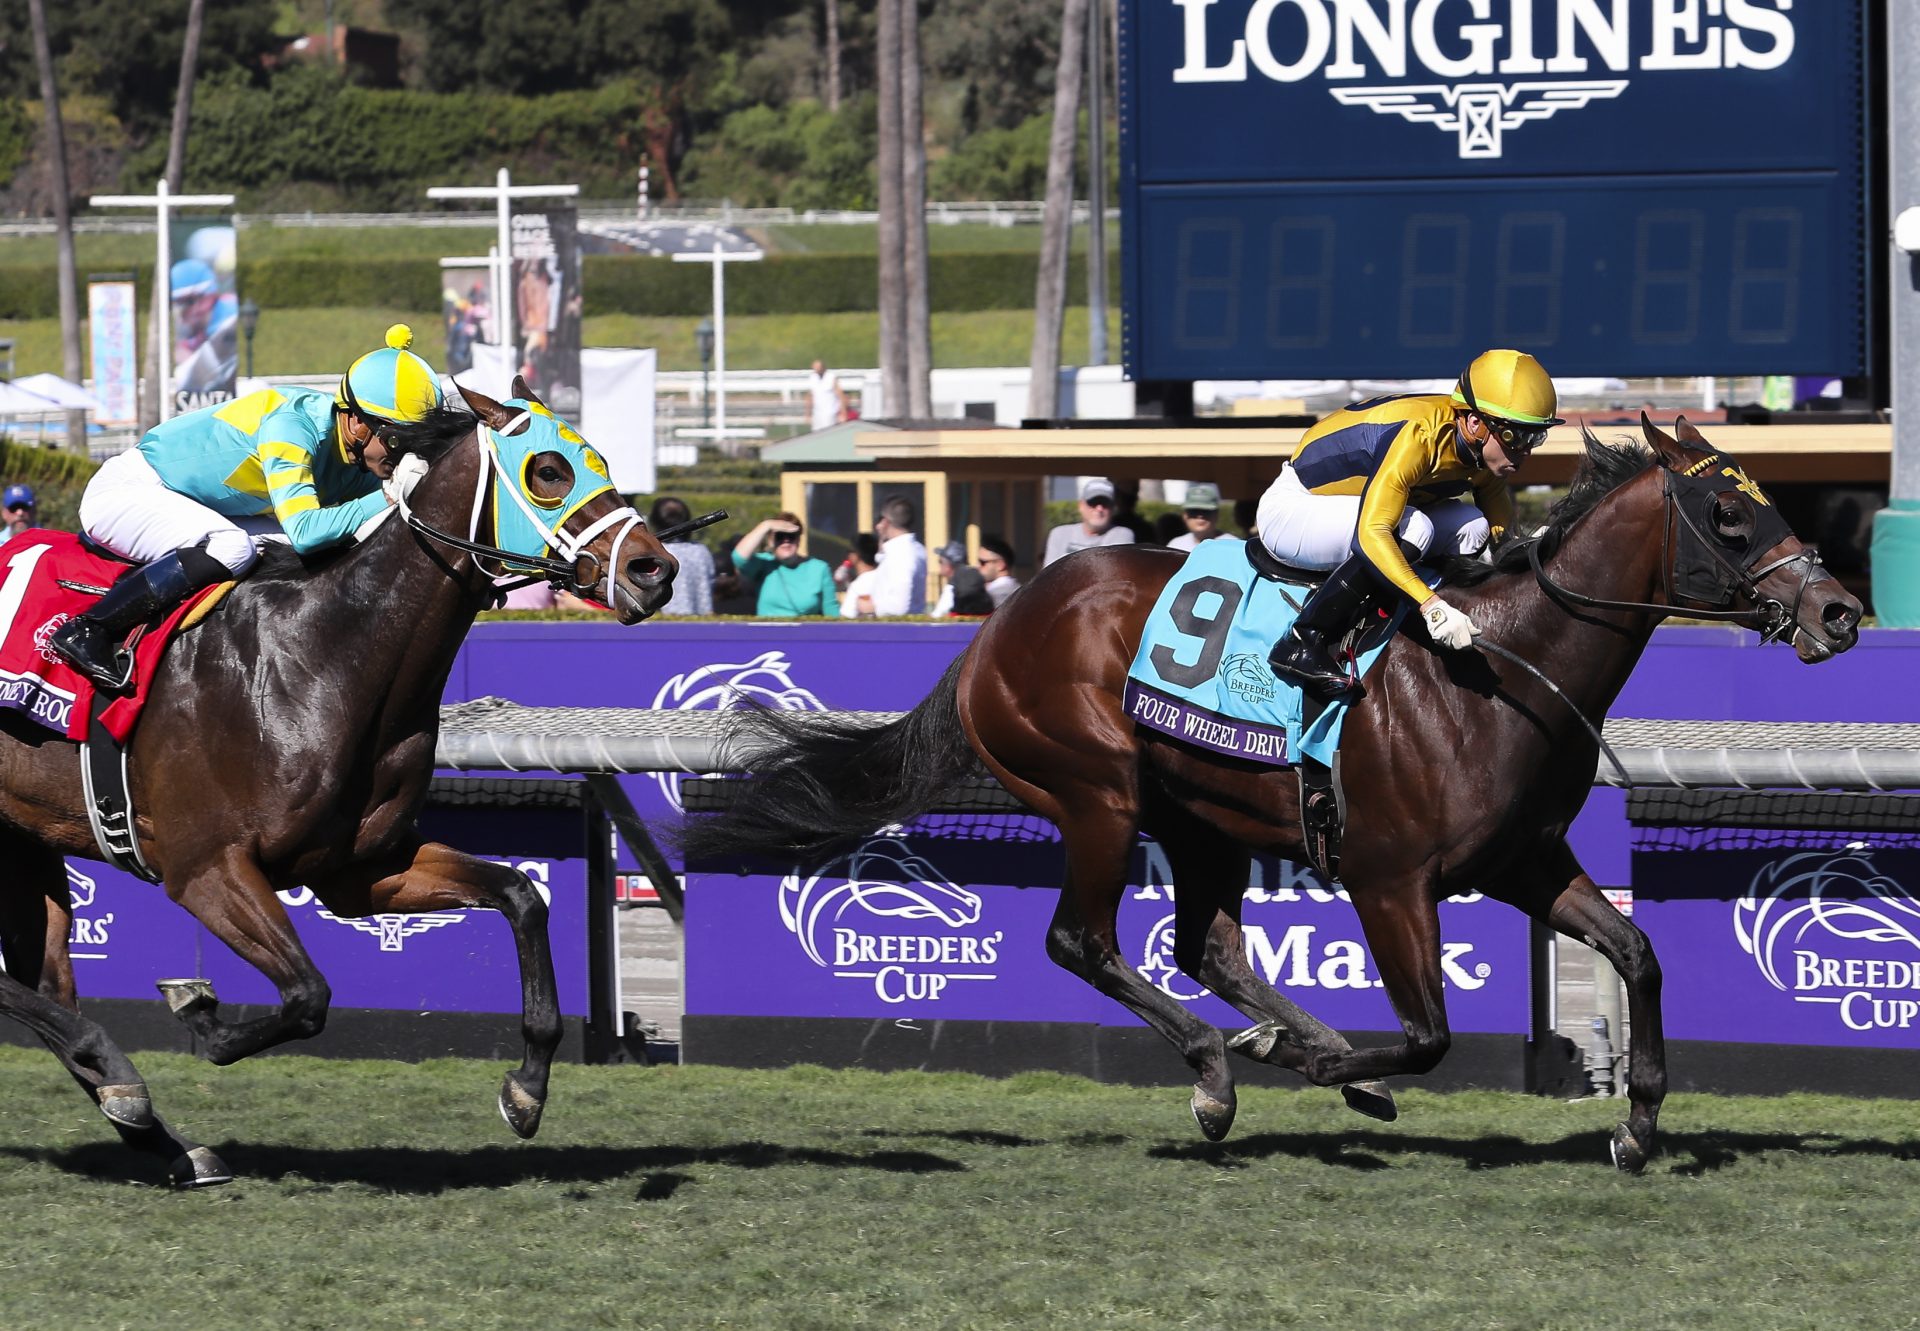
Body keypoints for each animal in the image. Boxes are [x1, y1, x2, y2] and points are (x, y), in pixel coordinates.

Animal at [0, 374, 683, 1183]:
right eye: (548, 469)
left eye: (600, 458)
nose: (655, 569)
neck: (326, 657)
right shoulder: (204, 868)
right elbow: (307, 995)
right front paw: (200, 1015)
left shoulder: (360, 869)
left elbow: (521, 896)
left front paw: (528, 1087)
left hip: (25, 840)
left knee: (46, 980)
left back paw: (159, 1136)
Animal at [687, 418, 1858, 1175]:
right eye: (1729, 512)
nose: (1841, 612)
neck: (1498, 670)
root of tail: (997, 625)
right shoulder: (1391, 878)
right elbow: (1429, 1031)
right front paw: (1318, 1057)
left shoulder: (1522, 858)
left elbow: (1638, 951)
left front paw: (1639, 1122)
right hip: (1097, 791)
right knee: (1083, 941)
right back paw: (1225, 1063)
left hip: (1198, 814)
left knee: (1206, 946)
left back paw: (1274, 1048)